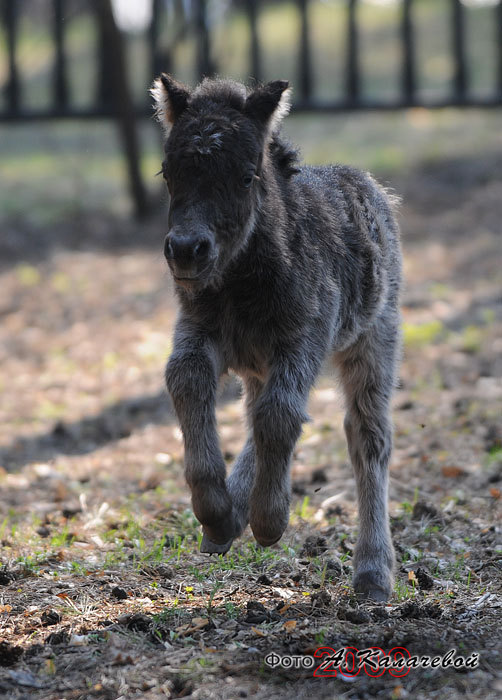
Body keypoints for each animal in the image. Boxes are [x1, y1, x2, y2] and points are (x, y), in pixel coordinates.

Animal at [151, 75, 402, 600]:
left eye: (246, 176)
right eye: (167, 172)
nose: (185, 251)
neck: (240, 282)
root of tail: (369, 185)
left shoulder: (303, 338)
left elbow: (281, 414)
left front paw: (269, 519)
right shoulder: (198, 328)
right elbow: (186, 379)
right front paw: (215, 510)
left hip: (374, 336)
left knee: (367, 436)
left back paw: (373, 572)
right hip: (257, 360)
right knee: (254, 412)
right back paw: (228, 519)